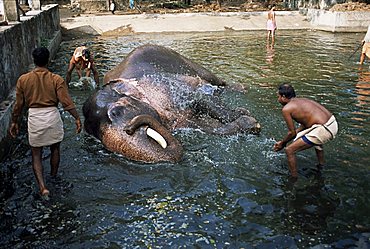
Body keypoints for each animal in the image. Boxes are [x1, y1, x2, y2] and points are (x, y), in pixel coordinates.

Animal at [82, 44, 262, 163]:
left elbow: (202, 99)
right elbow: (206, 126)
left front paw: (246, 115)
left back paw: (241, 88)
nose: (129, 129)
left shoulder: (166, 87)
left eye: (117, 111)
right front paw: (248, 122)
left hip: (185, 60)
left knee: (216, 81)